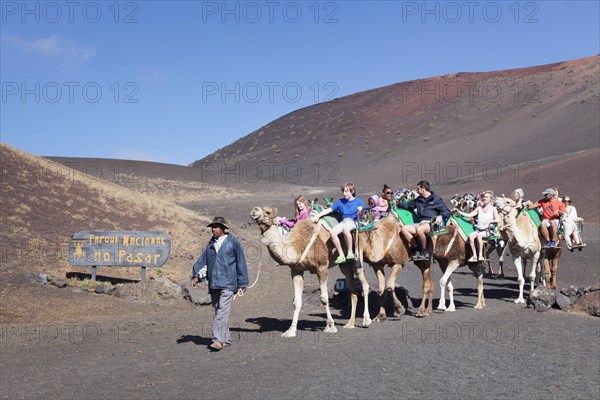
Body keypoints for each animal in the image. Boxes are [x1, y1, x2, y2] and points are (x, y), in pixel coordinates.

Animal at [248, 206, 370, 338]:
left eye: (268, 212)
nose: (254, 210)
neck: (297, 246)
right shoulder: (296, 271)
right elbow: (296, 302)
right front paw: (290, 331)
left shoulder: (322, 267)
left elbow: (324, 298)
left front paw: (330, 326)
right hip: (344, 265)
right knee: (353, 289)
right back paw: (350, 323)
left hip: (357, 255)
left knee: (365, 285)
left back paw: (366, 320)